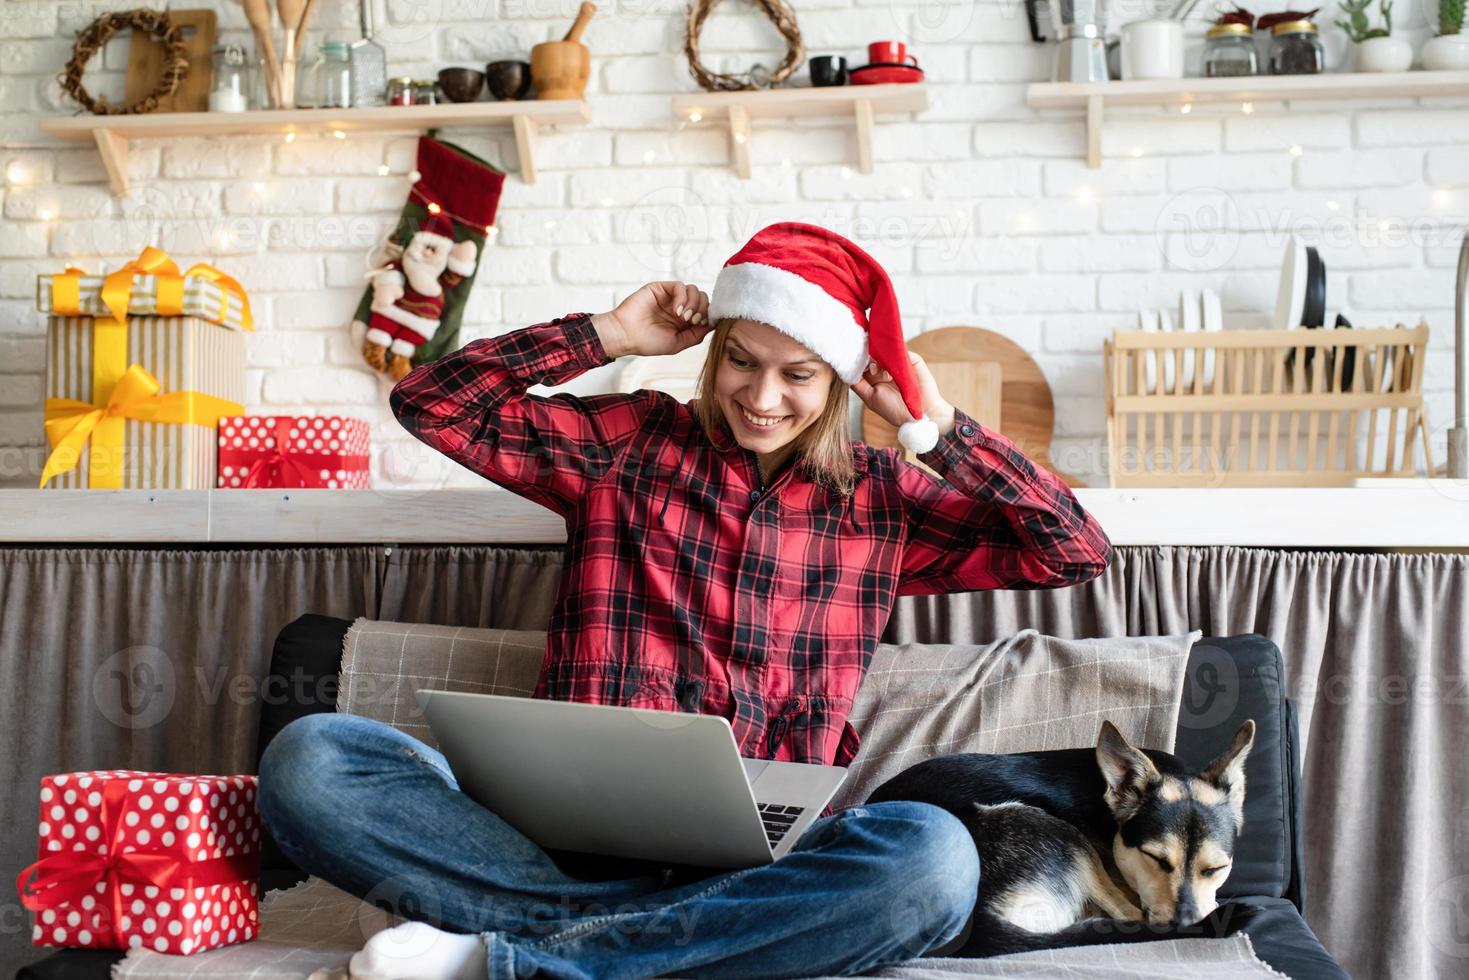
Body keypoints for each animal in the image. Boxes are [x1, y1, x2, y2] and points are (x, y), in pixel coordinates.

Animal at [863, 719, 1257, 957]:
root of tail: (973, 923)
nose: (1186, 924)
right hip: (1056, 831)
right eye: (1156, 858)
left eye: (1215, 869)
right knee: (1125, 914)